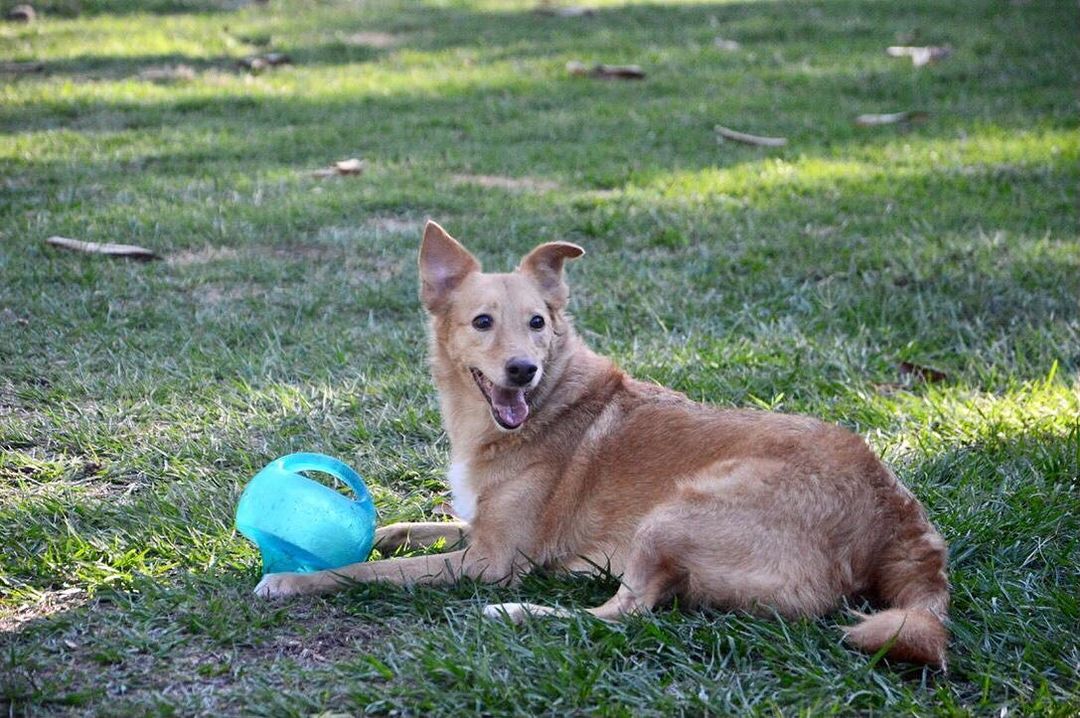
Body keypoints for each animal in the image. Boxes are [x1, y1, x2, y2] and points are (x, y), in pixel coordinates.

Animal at [257, 221, 950, 665]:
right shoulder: (478, 525)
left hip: (673, 514)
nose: (522, 371)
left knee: (625, 614)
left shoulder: (489, 561)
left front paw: (292, 580)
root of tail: (899, 519)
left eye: (538, 323)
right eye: (482, 322)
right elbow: (400, 530)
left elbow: (366, 571)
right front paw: (361, 535)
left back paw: (515, 615)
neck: (545, 403)